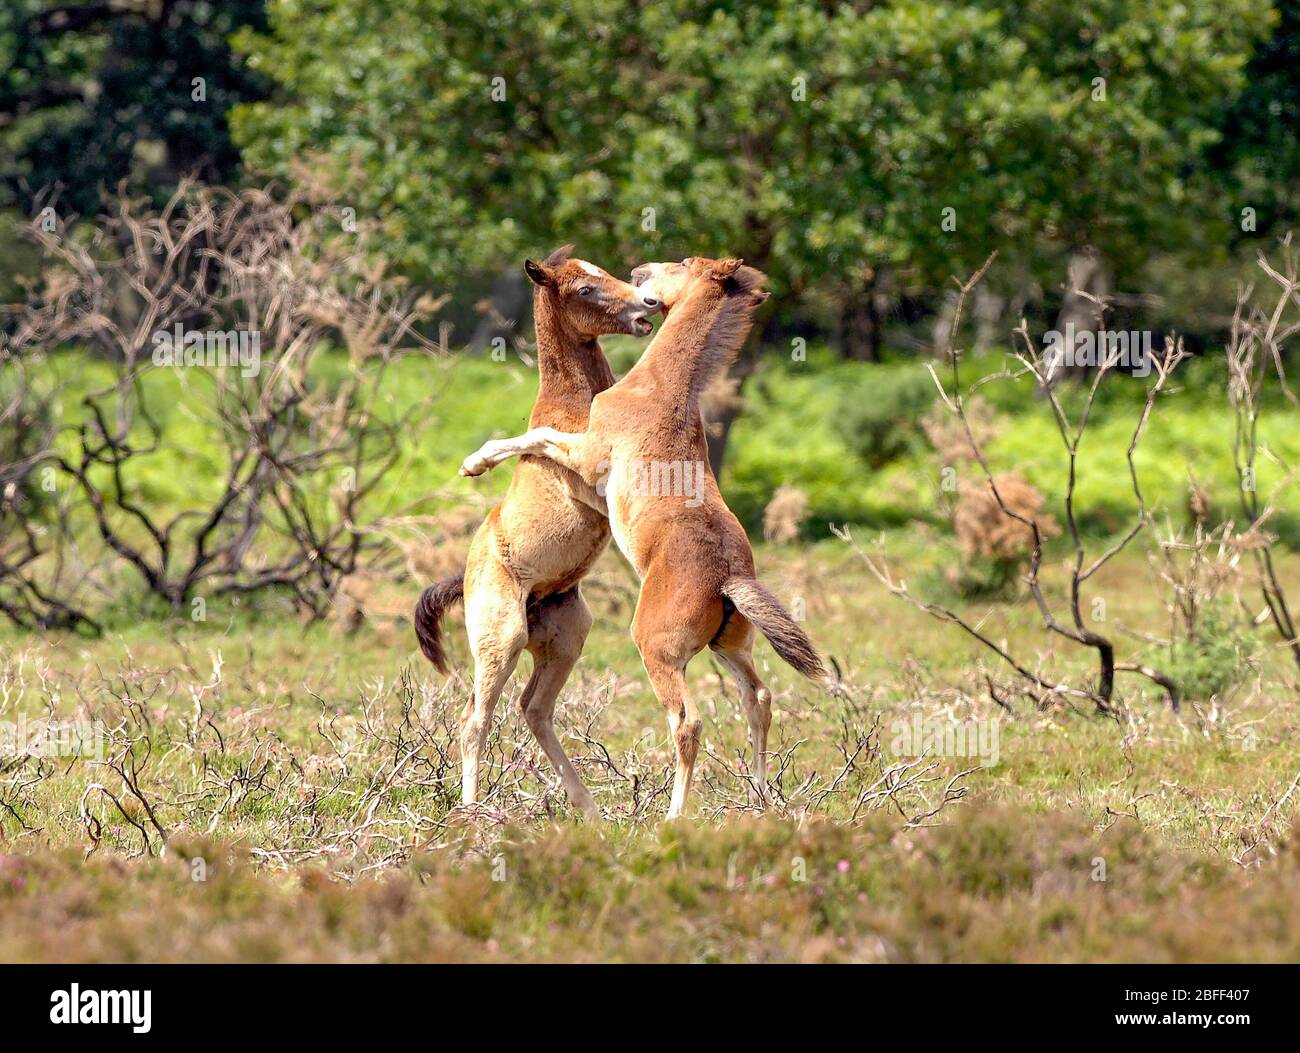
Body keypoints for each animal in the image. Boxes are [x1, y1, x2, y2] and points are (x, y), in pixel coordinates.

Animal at [416, 244, 660, 811]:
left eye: (607, 272)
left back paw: (589, 808)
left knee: (534, 709)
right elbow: (537, 441)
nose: (648, 305)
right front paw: (474, 463)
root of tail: (465, 577)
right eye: (584, 288)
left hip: (566, 637)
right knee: (475, 717)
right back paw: (471, 809)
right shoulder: (596, 479)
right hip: (501, 638)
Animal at [460, 258, 821, 816]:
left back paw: (670, 816)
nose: (641, 274)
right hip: (728, 646)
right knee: (757, 698)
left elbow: (537, 436)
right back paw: (759, 798)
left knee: (686, 721)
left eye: (685, 262)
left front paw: (474, 462)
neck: (659, 390)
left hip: (651, 650)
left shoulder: (588, 458)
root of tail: (729, 579)